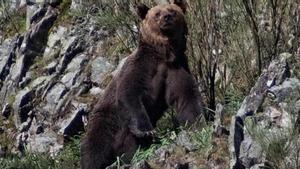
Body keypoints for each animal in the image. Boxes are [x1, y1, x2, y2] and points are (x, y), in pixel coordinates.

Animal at [80, 0, 206, 168]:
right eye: (157, 13)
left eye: (172, 10)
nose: (167, 17)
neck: (163, 53)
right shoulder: (140, 67)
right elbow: (129, 94)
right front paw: (146, 130)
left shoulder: (175, 68)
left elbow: (186, 93)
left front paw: (197, 122)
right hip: (106, 121)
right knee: (95, 146)